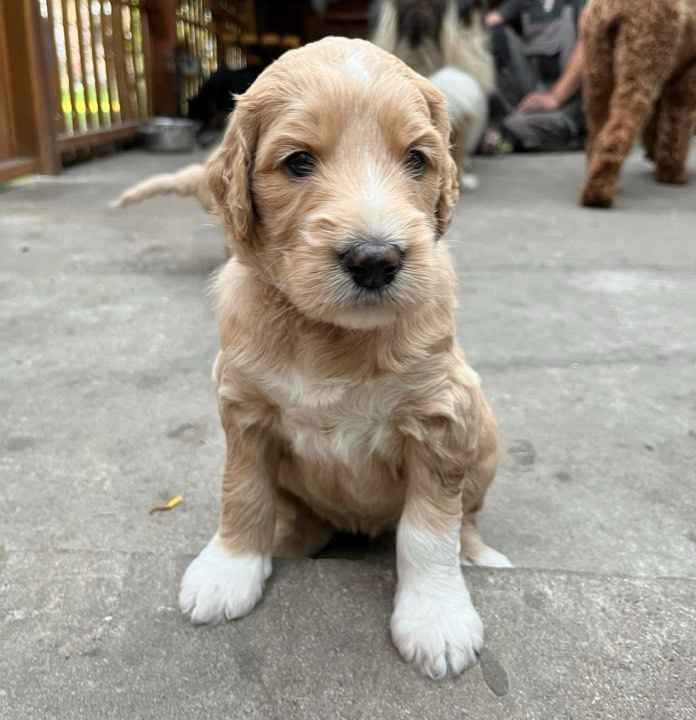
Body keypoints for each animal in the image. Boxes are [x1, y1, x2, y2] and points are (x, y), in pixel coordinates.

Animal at [177, 38, 508, 680]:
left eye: (417, 160)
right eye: (298, 162)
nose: (376, 259)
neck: (328, 336)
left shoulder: (440, 417)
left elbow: (429, 528)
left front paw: (436, 617)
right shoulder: (244, 407)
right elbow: (241, 490)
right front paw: (230, 566)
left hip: (483, 432)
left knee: (467, 519)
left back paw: (479, 555)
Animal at [580, 0, 696, 208]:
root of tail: (613, 8)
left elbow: (659, 126)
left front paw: (655, 156)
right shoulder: (687, 74)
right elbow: (676, 127)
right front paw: (672, 173)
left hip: (598, 65)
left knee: (597, 129)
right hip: (643, 56)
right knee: (619, 129)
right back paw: (599, 194)